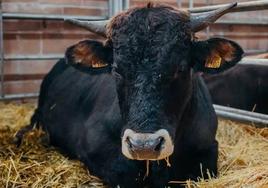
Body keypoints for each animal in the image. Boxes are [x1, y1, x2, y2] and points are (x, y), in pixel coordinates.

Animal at [16, 2, 243, 188]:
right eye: (117, 70)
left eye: (180, 68)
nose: (144, 146)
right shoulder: (95, 147)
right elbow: (125, 173)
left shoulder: (208, 150)